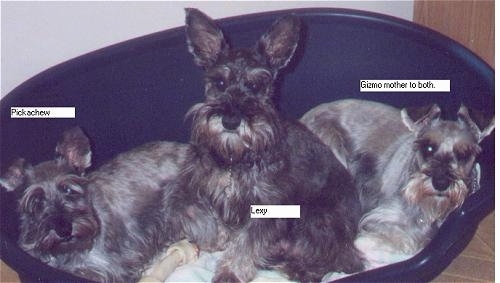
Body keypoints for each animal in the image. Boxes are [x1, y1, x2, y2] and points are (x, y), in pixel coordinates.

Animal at [164, 8, 364, 283]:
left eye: (256, 85)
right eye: (219, 83)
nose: (230, 120)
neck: (234, 157)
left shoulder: (268, 206)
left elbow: (247, 243)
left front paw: (230, 271)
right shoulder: (202, 187)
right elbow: (198, 214)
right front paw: (217, 239)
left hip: (315, 219)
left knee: (330, 261)